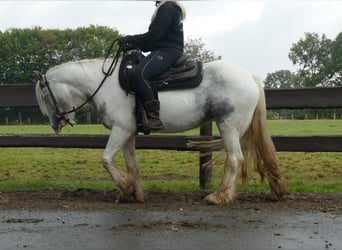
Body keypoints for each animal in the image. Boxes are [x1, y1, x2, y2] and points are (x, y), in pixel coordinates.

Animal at [34, 58, 288, 205]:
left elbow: (105, 159)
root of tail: (250, 77)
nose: (55, 125)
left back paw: (219, 196)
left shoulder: (120, 129)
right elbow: (131, 164)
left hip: (228, 126)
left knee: (235, 159)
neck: (106, 85)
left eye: (45, 95)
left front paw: (125, 187)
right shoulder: (128, 133)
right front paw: (132, 192)